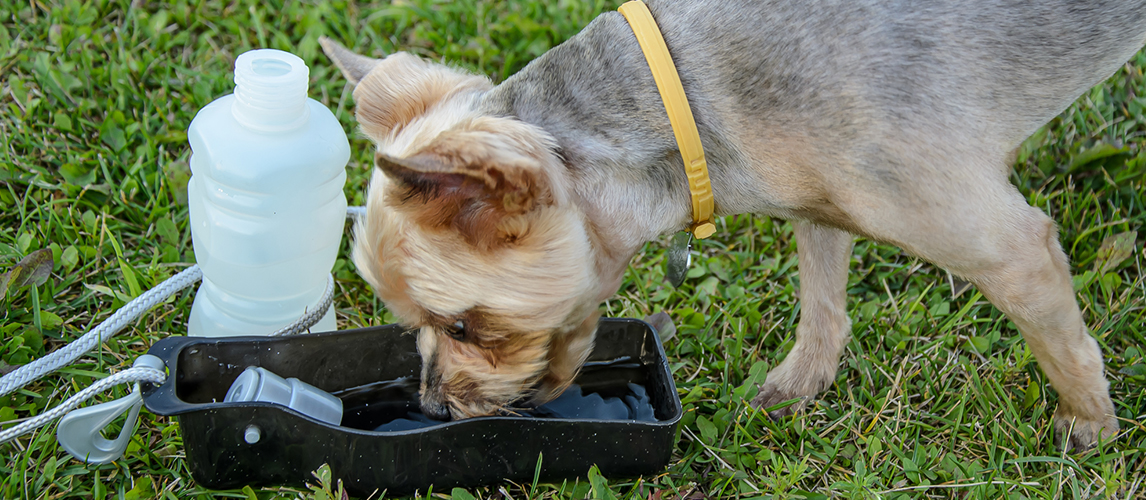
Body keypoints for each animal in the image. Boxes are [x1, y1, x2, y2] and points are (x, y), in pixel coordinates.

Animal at [320, 0, 1146, 449]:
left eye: (463, 328)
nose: (432, 408)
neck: (686, 100)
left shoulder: (1015, 250)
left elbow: (1067, 348)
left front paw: (1092, 427)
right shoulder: (818, 202)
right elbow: (824, 302)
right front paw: (802, 382)